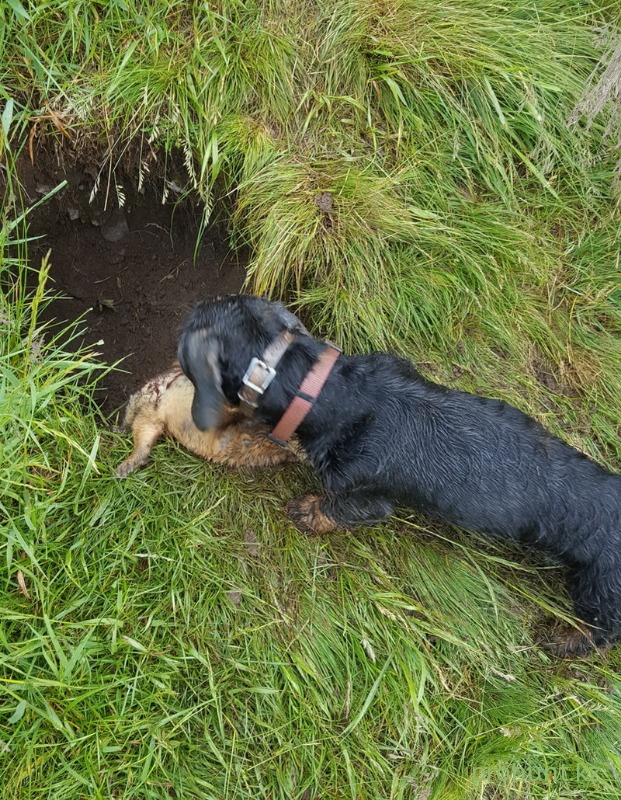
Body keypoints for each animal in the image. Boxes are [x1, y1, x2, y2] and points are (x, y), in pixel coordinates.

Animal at [177, 296, 620, 652]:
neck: (330, 392)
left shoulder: (363, 496)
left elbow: (332, 508)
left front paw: (306, 511)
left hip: (600, 591)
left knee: (602, 633)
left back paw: (565, 639)